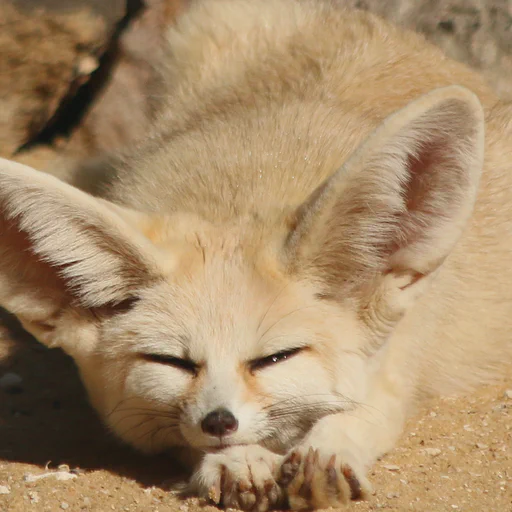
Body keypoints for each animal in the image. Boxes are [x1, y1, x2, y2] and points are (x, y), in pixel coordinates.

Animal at [1, 0, 512, 506]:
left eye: (275, 358)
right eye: (173, 362)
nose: (219, 421)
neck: (242, 190)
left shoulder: (396, 365)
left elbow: (358, 417)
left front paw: (327, 452)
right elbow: (187, 441)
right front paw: (235, 461)